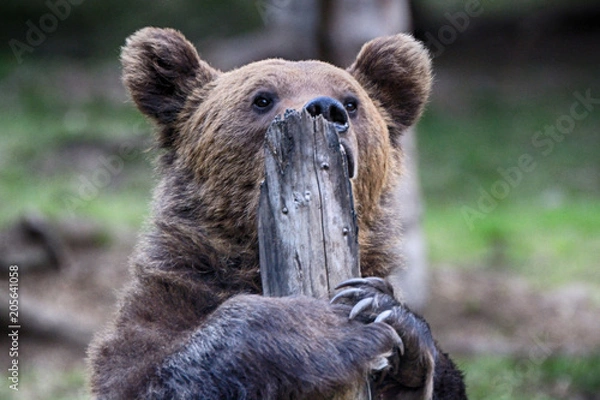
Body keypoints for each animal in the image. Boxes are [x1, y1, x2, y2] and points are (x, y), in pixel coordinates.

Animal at [86, 26, 466, 398]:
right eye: (262, 98)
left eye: (351, 101)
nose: (326, 108)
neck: (250, 256)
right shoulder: (167, 300)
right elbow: (147, 374)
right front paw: (325, 328)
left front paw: (382, 310)